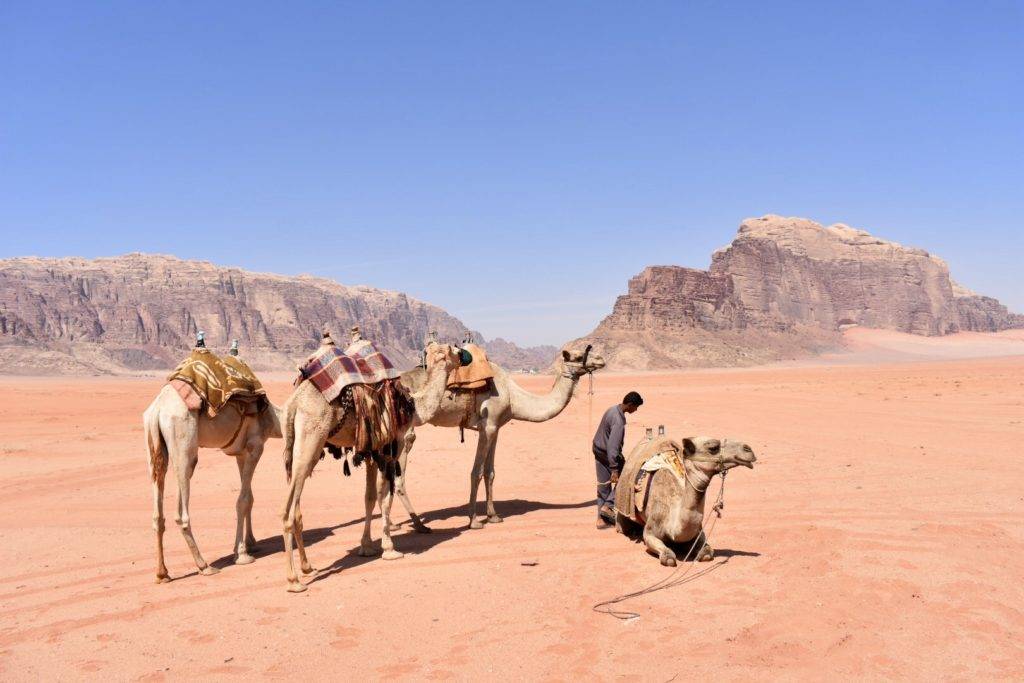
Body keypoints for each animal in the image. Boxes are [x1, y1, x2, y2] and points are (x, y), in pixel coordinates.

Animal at [142, 374, 282, 581]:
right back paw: (204, 565)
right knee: (182, 512)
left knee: (158, 510)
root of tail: (157, 411)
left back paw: (162, 573)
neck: (273, 418)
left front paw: (251, 543)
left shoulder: (241, 453)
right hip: (183, 444)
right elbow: (243, 500)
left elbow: (249, 498)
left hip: (154, 449)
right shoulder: (255, 447)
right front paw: (241, 554)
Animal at [278, 339, 458, 593]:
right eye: (453, 350)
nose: (464, 356)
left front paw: (366, 547)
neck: (413, 406)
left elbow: (370, 497)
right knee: (288, 512)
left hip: (298, 446)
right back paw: (294, 580)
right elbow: (386, 496)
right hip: (311, 439)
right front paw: (389, 548)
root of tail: (293, 404)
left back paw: (307, 567)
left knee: (297, 508)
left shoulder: (372, 452)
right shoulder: (393, 447)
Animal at [389, 348, 598, 528]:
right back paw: (418, 525)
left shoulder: (496, 428)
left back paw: (394, 524)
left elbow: (490, 472)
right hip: (406, 432)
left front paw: (493, 516)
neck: (512, 397)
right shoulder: (487, 426)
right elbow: (477, 472)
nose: (600, 360)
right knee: (399, 477)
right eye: (579, 356)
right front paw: (474, 520)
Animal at [614, 438, 753, 565]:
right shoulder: (651, 531)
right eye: (713, 448)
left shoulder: (698, 532)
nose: (748, 449)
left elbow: (706, 553)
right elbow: (668, 557)